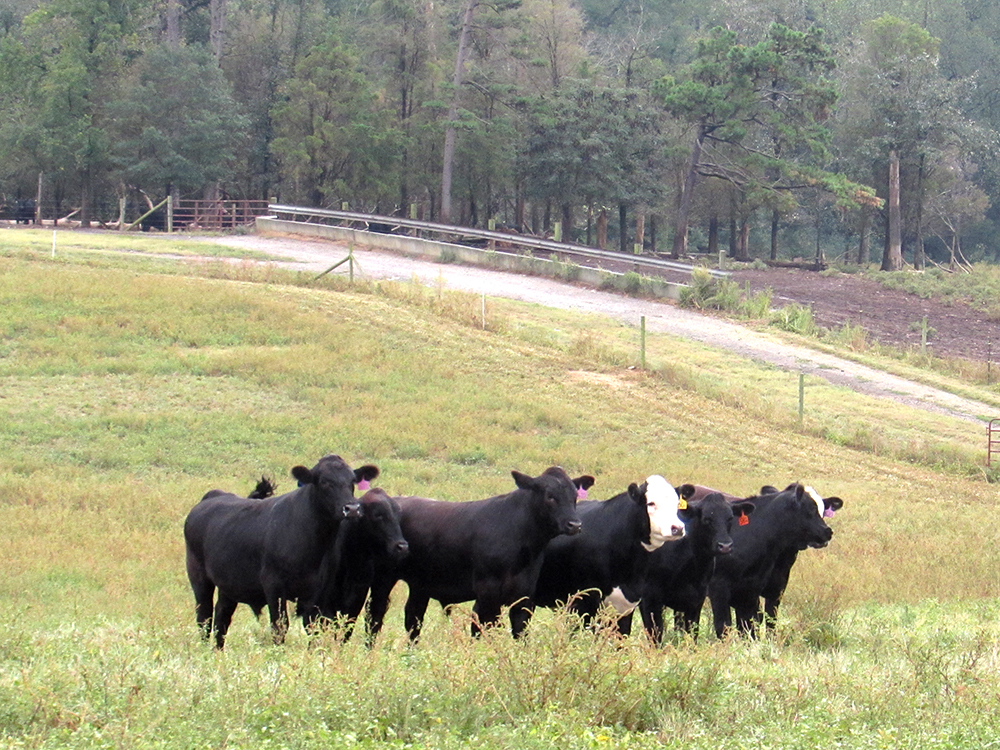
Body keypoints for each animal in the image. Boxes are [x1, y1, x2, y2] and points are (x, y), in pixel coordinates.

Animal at [183, 454, 379, 648]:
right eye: (324, 481)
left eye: (352, 481)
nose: (352, 509)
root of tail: (213, 496)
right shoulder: (273, 585)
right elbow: (280, 626)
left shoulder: (319, 591)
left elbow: (312, 627)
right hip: (199, 577)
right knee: (204, 617)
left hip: (229, 583)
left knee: (221, 617)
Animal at [365, 466, 593, 641]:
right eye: (550, 496)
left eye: (574, 497)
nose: (575, 524)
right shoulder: (487, 592)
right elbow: (484, 629)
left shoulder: (524, 595)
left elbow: (520, 632)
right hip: (383, 578)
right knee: (374, 616)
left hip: (420, 584)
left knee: (413, 618)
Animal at [621, 489, 756, 643]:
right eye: (706, 519)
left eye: (730, 518)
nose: (725, 546)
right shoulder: (648, 599)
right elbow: (655, 634)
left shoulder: (696, 599)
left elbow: (692, 633)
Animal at [707, 483, 842, 639]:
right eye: (811, 509)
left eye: (823, 510)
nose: (828, 531)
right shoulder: (719, 588)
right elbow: (724, 627)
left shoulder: (758, 590)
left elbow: (755, 625)